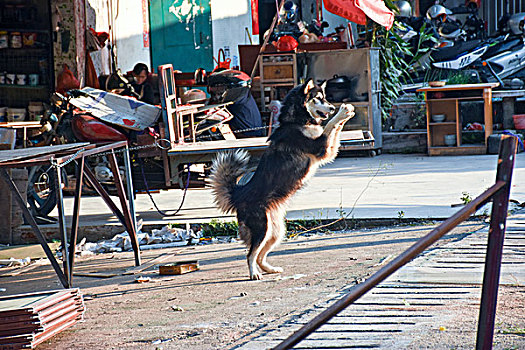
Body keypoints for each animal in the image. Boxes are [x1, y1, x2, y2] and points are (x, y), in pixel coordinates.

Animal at [211, 78, 354, 278]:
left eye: (325, 98)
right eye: (318, 98)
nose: (333, 107)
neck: (296, 121)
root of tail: (238, 194)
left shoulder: (327, 150)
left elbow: (333, 130)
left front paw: (346, 112)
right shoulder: (320, 147)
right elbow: (329, 126)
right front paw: (343, 112)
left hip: (275, 232)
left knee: (260, 255)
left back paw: (269, 269)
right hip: (261, 229)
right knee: (250, 254)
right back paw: (254, 273)